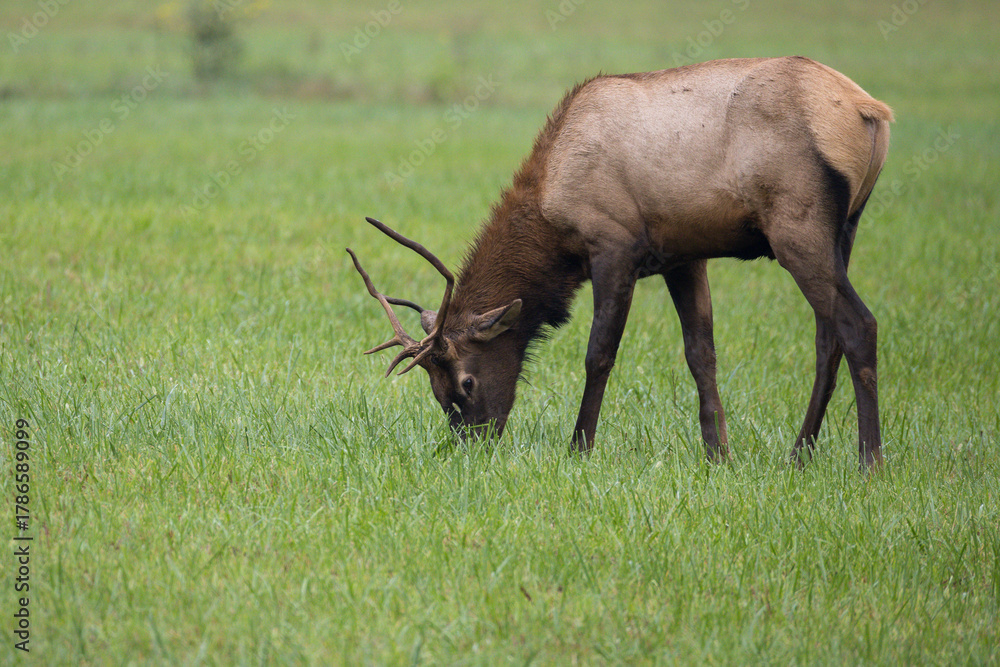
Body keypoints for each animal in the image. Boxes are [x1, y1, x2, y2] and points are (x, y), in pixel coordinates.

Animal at [347, 56, 893, 471]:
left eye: (465, 382)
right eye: (436, 392)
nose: (475, 442)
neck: (552, 213)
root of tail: (871, 111)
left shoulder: (614, 248)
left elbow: (599, 353)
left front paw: (578, 447)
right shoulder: (684, 256)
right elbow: (701, 355)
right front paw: (718, 455)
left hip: (797, 227)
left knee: (858, 323)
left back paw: (870, 462)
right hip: (843, 229)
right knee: (827, 339)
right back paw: (800, 454)